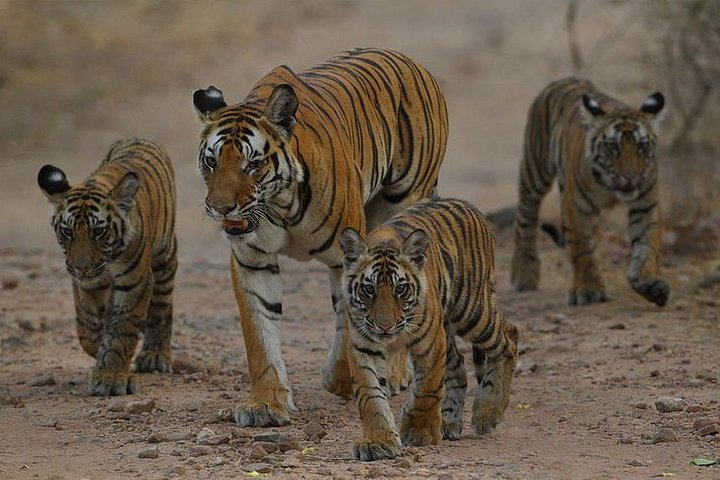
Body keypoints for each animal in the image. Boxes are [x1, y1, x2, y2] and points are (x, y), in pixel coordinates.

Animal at [37, 138, 177, 396]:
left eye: (99, 231)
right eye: (67, 231)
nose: (81, 267)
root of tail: (139, 137)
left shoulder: (136, 282)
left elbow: (122, 331)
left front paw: (110, 376)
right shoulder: (85, 284)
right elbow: (87, 325)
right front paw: (99, 348)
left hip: (165, 257)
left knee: (161, 308)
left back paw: (154, 356)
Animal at [192, 47, 448, 427]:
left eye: (252, 165)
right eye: (211, 162)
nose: (220, 208)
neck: (279, 206)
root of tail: (410, 60)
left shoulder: (346, 257)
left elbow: (348, 322)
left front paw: (343, 380)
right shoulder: (253, 262)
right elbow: (260, 334)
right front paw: (266, 404)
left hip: (405, 202)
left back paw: (395, 372)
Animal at [339, 197, 519, 461]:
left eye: (400, 289)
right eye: (368, 289)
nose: (385, 326)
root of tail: (470, 206)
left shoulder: (430, 343)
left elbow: (427, 389)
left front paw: (419, 432)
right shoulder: (363, 348)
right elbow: (370, 396)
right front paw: (377, 441)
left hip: (472, 312)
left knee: (509, 337)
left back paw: (488, 412)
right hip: (450, 326)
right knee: (459, 369)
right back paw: (449, 422)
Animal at [511, 77, 669, 307]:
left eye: (642, 145)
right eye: (613, 147)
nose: (630, 177)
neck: (611, 188)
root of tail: (564, 79)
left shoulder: (645, 206)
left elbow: (647, 245)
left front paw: (649, 283)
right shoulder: (576, 206)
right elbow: (582, 248)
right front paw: (589, 289)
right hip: (534, 172)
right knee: (525, 220)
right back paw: (524, 274)